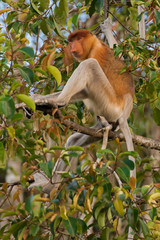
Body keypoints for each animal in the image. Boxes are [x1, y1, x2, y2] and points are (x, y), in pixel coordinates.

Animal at [50, 28, 136, 189]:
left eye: (78, 39)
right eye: (71, 41)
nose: (72, 47)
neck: (95, 44)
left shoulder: (97, 54)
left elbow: (86, 86)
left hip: (110, 104)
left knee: (89, 65)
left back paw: (60, 101)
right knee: (74, 140)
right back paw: (49, 187)